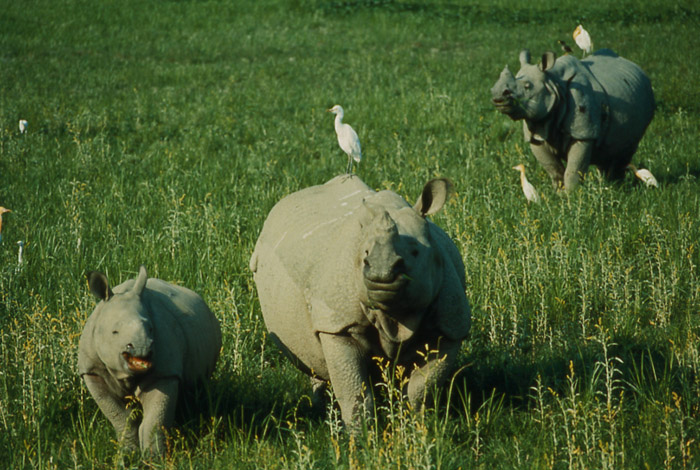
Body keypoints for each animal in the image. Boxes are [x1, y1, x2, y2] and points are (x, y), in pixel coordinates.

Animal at [77, 268, 220, 456]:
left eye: (151, 329)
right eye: (115, 332)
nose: (142, 347)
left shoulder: (164, 373)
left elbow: (154, 420)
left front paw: (154, 457)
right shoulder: (92, 371)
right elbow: (120, 418)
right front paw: (128, 454)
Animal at [249, 175, 474, 426]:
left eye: (415, 252)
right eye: (365, 255)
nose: (382, 273)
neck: (394, 315)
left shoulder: (450, 325)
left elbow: (422, 389)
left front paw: (417, 425)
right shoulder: (337, 325)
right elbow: (354, 392)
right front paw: (363, 435)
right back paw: (322, 410)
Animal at [490, 49, 652, 191]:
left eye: (527, 86)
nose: (497, 95)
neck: (553, 83)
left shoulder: (584, 133)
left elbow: (573, 170)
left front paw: (571, 198)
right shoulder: (535, 131)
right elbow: (553, 168)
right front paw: (559, 195)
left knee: (626, 149)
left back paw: (616, 187)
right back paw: (607, 186)